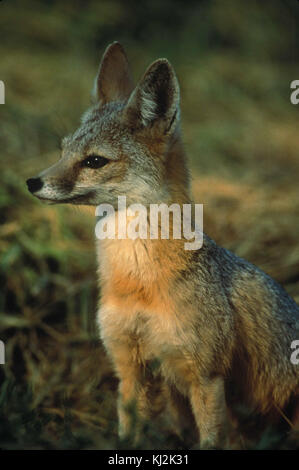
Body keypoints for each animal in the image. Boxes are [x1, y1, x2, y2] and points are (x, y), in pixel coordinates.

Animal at [26, 41, 299, 448]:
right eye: (62, 151)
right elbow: (128, 432)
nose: (32, 182)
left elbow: (211, 439)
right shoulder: (130, 367)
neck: (138, 282)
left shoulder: (206, 376)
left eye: (94, 161)